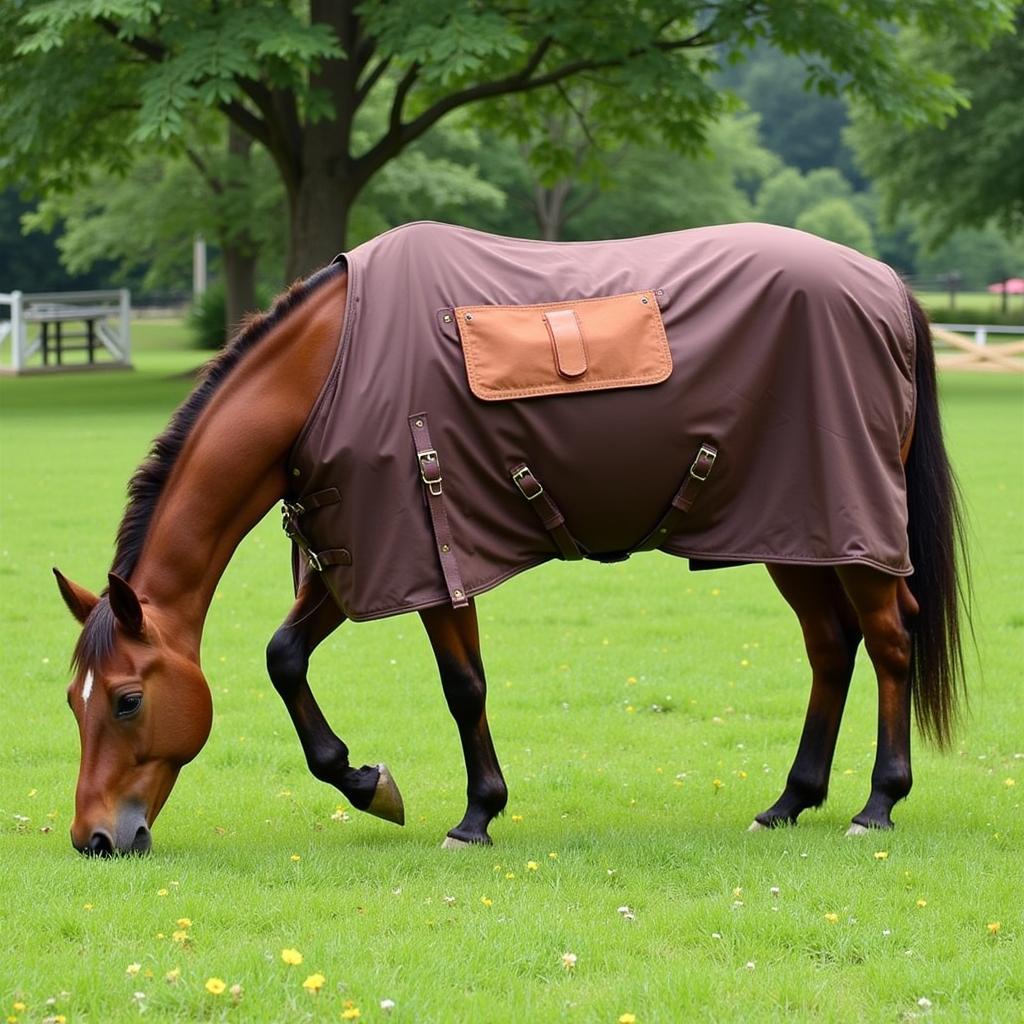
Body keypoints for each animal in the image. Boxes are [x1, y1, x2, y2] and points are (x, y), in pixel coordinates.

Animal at [54, 222, 966, 856]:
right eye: (73, 701)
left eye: (127, 699)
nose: (95, 839)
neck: (325, 372)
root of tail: (884, 285)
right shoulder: (355, 557)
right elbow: (284, 657)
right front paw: (365, 781)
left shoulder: (431, 556)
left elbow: (464, 686)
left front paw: (475, 814)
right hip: (795, 534)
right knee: (832, 646)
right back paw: (789, 801)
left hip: (848, 531)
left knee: (888, 639)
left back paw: (877, 803)